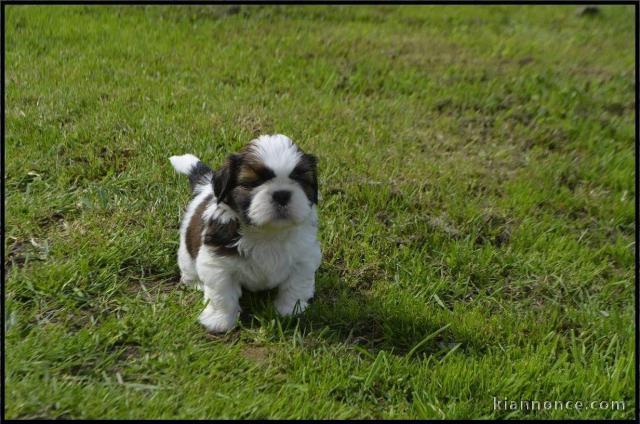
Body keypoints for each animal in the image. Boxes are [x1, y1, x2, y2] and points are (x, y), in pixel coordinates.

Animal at [169, 134, 320, 332]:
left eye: (300, 181)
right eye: (251, 183)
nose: (281, 194)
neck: (266, 234)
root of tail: (206, 188)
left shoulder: (304, 258)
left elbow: (295, 286)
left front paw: (290, 311)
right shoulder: (217, 263)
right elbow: (222, 295)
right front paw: (220, 320)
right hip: (186, 253)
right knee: (188, 269)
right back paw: (196, 283)